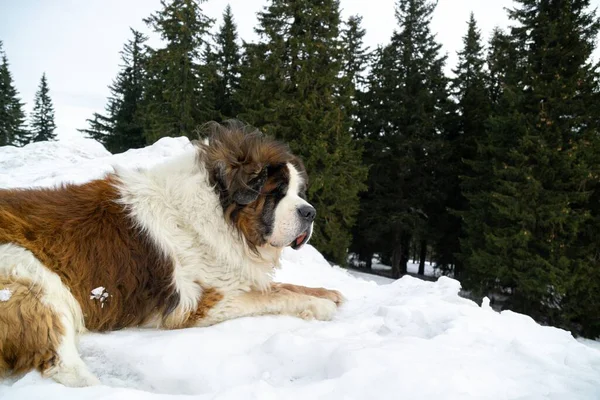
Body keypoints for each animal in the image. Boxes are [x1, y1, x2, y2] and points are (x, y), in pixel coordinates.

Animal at [0, 119, 342, 388]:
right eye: (276, 193)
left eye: (298, 191)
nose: (310, 212)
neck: (217, 211)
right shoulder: (201, 305)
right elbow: (271, 296)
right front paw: (318, 305)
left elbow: (280, 286)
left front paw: (328, 293)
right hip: (33, 276)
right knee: (63, 363)